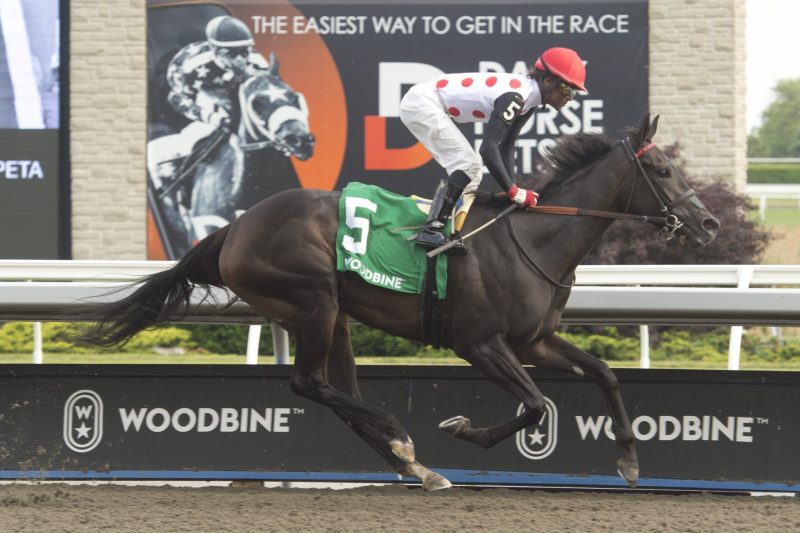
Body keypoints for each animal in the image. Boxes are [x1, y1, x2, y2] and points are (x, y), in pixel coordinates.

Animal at [79, 116, 720, 490]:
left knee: (335, 393)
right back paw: (402, 438)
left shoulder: (533, 340)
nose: (710, 223)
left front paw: (630, 459)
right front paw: (465, 431)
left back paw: (414, 464)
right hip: (312, 301)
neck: (535, 240)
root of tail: (233, 228)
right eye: (663, 169)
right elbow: (537, 406)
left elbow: (604, 373)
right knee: (309, 384)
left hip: (334, 317)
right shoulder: (479, 343)